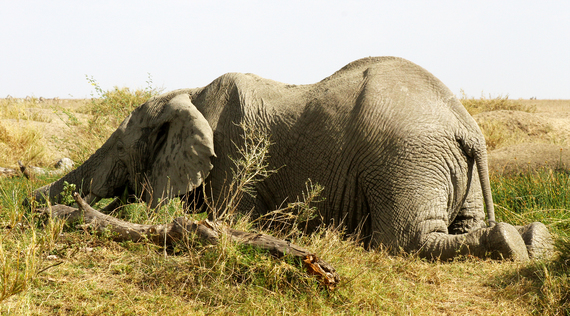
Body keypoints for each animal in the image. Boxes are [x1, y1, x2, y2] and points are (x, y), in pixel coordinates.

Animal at [31, 56, 552, 260]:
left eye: (121, 148)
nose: (35, 203)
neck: (189, 93)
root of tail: (467, 126)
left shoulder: (235, 157)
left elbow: (227, 217)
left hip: (407, 158)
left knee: (407, 240)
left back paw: (511, 241)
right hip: (446, 165)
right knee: (462, 226)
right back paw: (534, 241)